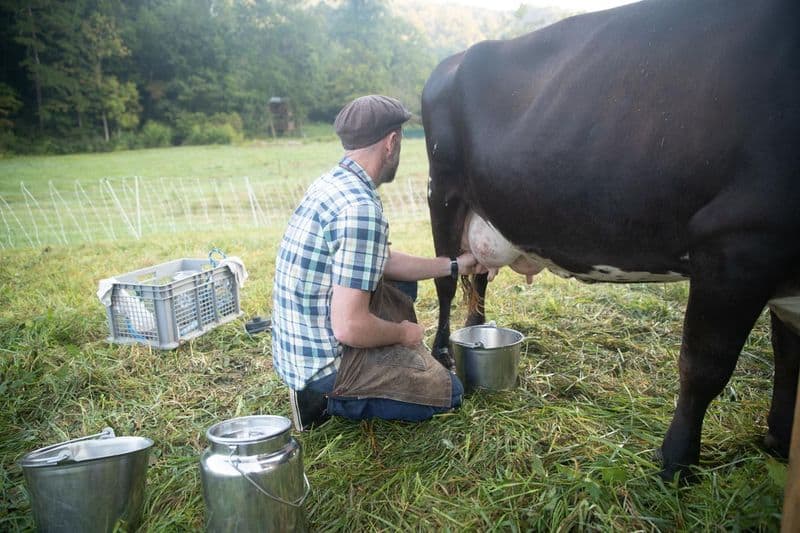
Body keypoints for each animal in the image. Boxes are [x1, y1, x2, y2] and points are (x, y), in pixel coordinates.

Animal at [422, 0, 796, 480]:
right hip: (443, 191)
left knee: (479, 282)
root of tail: (452, 61)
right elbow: (704, 367)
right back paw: (444, 354)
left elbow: (788, 357)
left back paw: (477, 332)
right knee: (447, 281)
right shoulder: (737, 244)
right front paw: (677, 463)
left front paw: (779, 441)